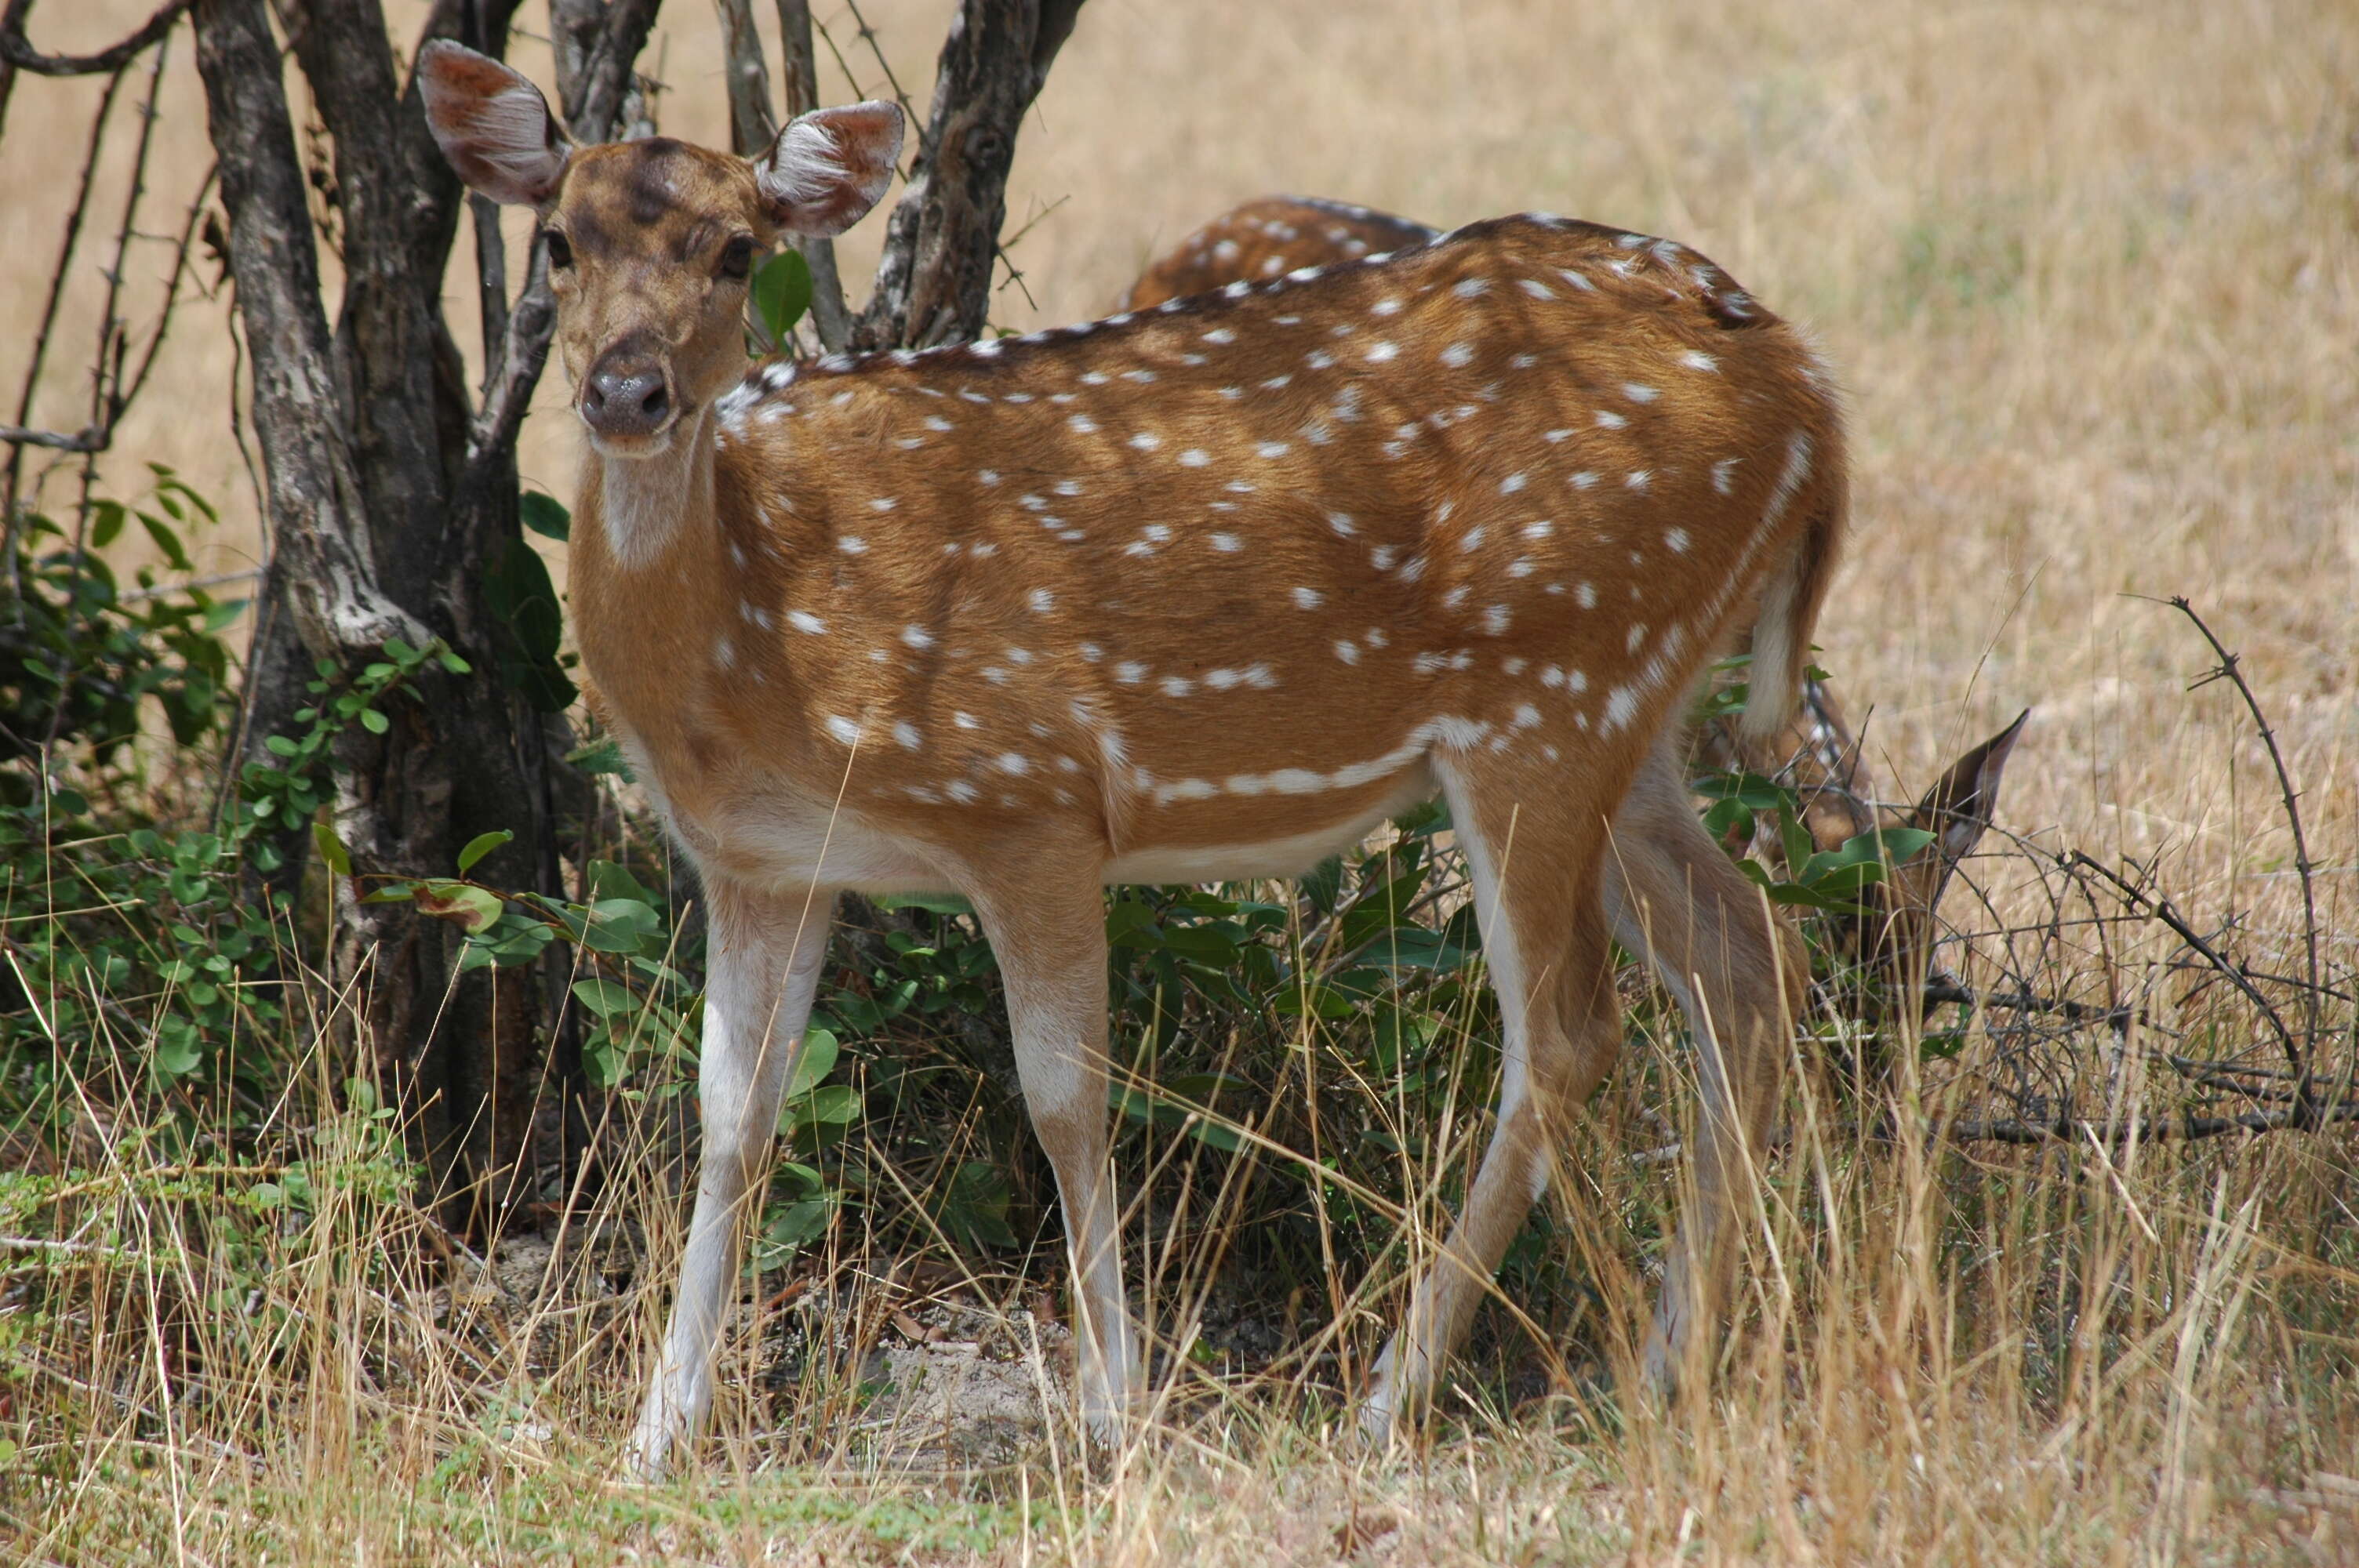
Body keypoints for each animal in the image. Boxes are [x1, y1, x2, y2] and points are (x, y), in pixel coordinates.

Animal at [434, 42, 1849, 1471]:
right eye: (558, 241)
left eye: (736, 250)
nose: (627, 393)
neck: (758, 630)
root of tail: (1806, 388)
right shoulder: (766, 862)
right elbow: (731, 1116)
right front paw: (654, 1437)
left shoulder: (1029, 800)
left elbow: (1065, 1099)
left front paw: (1116, 1415)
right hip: (1633, 710)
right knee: (1746, 958)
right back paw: (1664, 1371)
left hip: (1547, 695)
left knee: (1568, 1034)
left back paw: (1391, 1398)